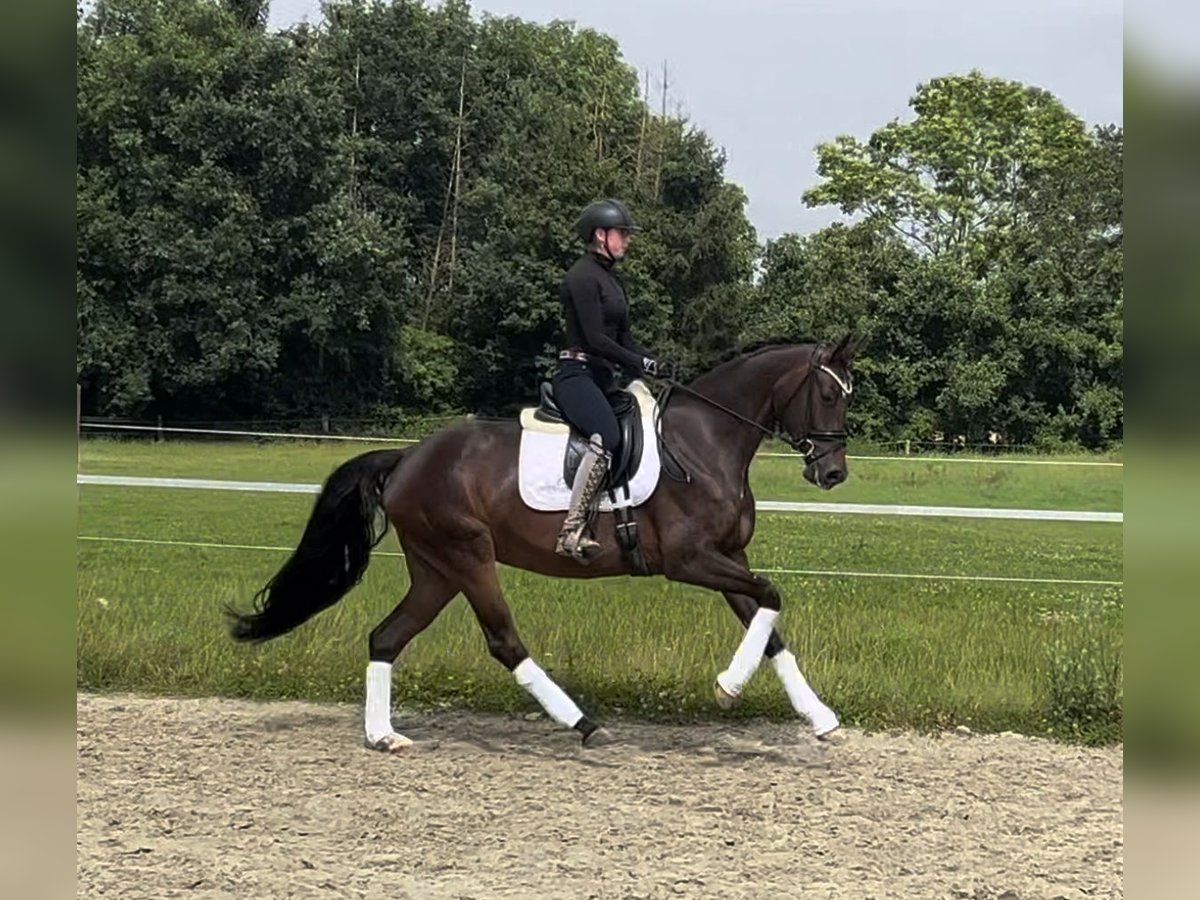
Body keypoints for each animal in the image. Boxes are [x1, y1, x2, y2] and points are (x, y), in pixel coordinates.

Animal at [225, 336, 859, 748]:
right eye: (830, 397)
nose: (832, 473)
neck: (705, 443)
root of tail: (407, 457)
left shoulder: (728, 557)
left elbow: (769, 627)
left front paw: (819, 716)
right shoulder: (690, 560)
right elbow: (773, 596)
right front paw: (728, 686)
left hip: (437, 569)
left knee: (386, 636)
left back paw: (384, 736)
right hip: (468, 556)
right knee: (503, 641)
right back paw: (583, 724)